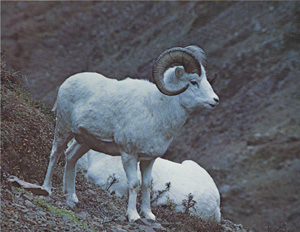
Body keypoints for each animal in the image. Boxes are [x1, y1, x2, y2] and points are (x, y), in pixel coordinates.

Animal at [41, 45, 218, 223]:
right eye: (193, 82)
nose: (215, 100)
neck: (156, 110)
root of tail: (67, 82)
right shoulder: (129, 154)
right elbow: (134, 184)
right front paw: (133, 216)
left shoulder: (148, 160)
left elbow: (146, 185)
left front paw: (149, 214)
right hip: (64, 129)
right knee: (55, 154)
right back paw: (46, 189)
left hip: (84, 142)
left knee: (71, 157)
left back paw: (71, 197)